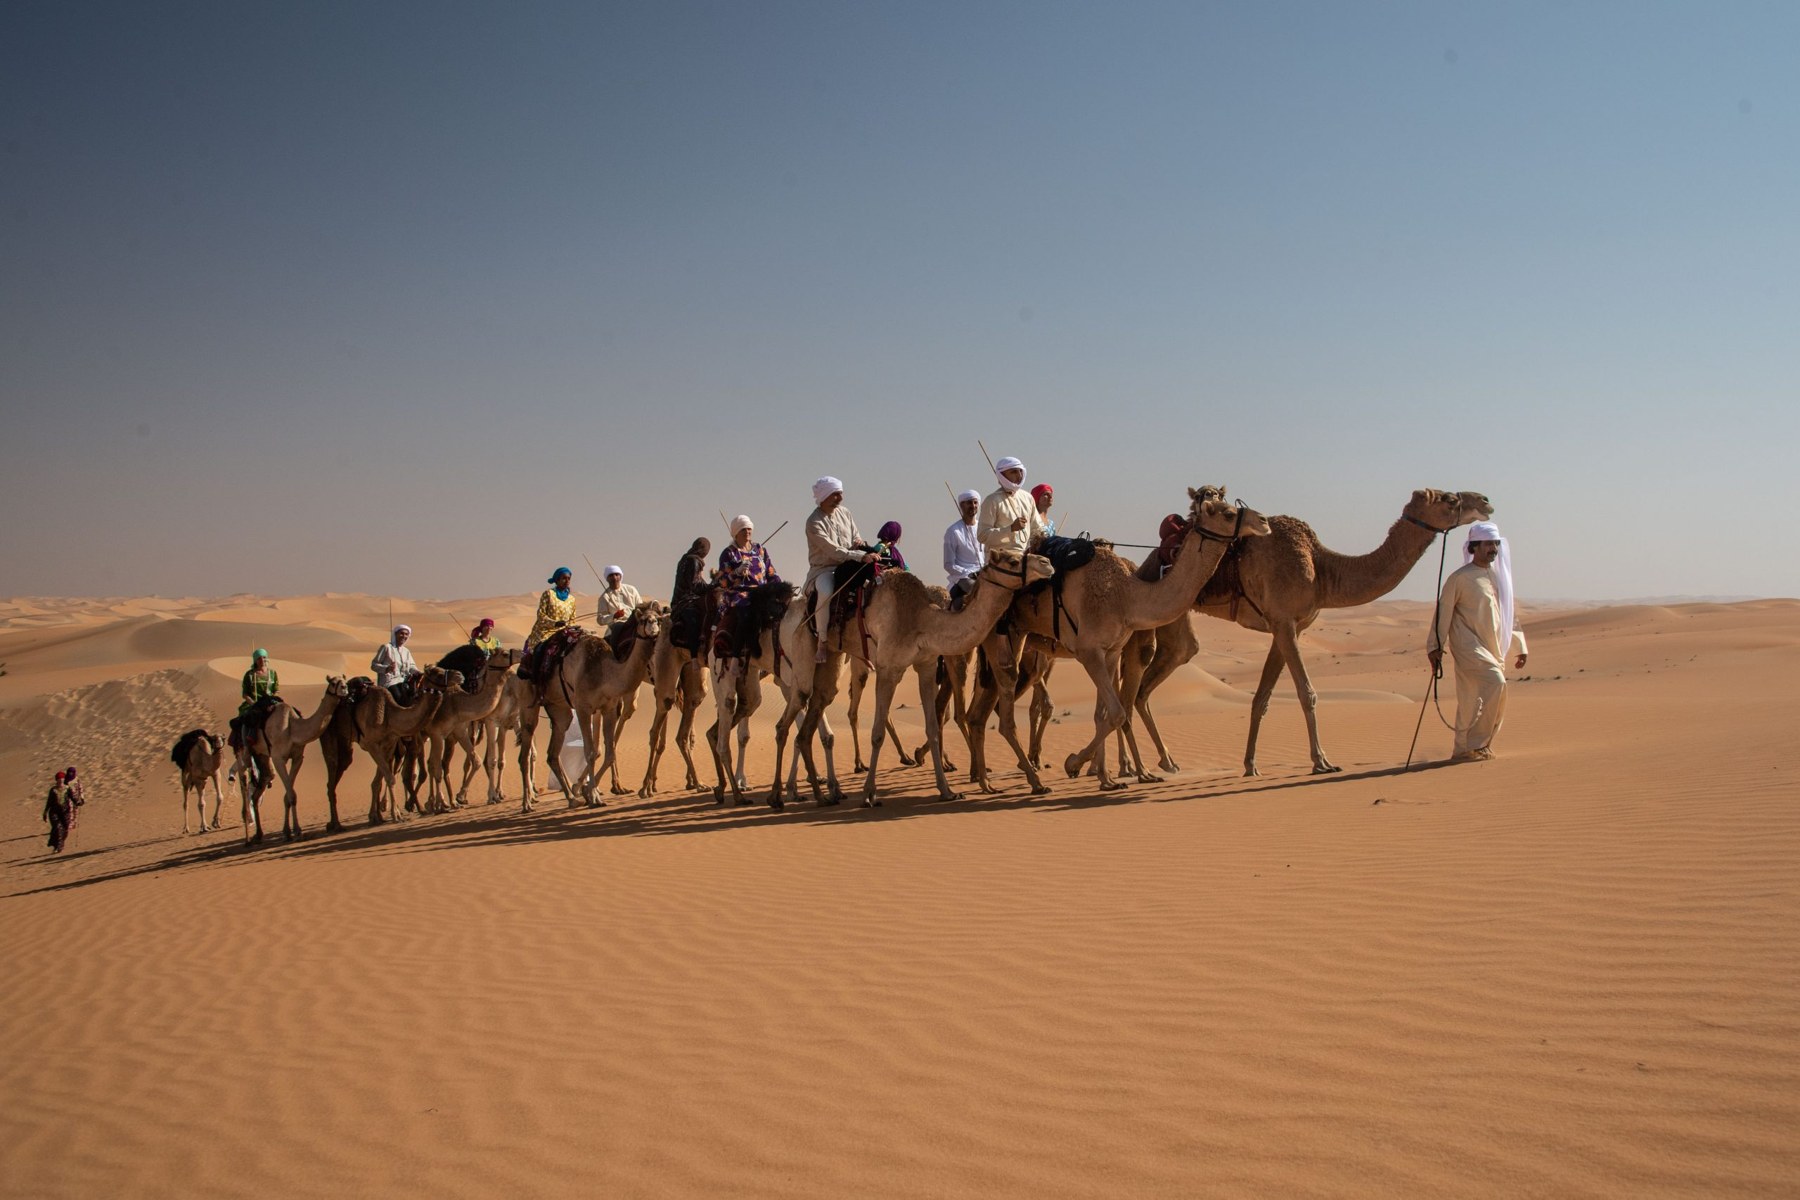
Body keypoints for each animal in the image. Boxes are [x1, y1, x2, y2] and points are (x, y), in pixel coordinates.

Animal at [237, 675, 351, 843]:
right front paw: (295, 830)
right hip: (244, 750)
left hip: (261, 756)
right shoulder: (279, 758)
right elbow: (290, 795)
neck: (293, 728)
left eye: (344, 680)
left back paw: (258, 834)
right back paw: (246, 836)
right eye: (333, 683)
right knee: (243, 776)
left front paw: (289, 831)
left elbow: (290, 795)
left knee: (261, 786)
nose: (345, 688)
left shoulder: (297, 757)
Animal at [538, 602, 667, 806]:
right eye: (643, 620)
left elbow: (607, 751)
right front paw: (592, 795)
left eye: (659, 619)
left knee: (553, 752)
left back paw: (573, 797)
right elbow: (591, 751)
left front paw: (588, 790)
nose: (653, 630)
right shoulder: (584, 708)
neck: (605, 672)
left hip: (559, 708)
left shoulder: (607, 707)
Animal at [773, 547, 1055, 808]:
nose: (1047, 563)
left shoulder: (926, 665)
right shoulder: (888, 667)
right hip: (802, 650)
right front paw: (869, 794)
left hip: (832, 658)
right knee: (789, 717)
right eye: (1013, 560)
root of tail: (793, 610)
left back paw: (823, 795)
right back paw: (779, 796)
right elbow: (877, 733)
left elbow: (933, 727)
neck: (922, 619)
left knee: (811, 719)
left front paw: (947, 790)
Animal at [966, 487, 1271, 793]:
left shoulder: (1112, 651)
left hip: (1017, 640)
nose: (1264, 521)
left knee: (982, 714)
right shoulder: (1089, 651)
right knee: (1000, 714)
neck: (1126, 597)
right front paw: (1075, 763)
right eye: (1228, 513)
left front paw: (1106, 778)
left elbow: (1102, 714)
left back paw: (987, 780)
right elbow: (1116, 713)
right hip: (1001, 639)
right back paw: (1027, 781)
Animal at [1138, 487, 1494, 778]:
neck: (1322, 568)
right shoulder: (1284, 621)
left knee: (1164, 669)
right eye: (1448, 499)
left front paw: (1250, 765)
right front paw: (1321, 761)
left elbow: (1262, 698)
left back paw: (1164, 763)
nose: (1485, 501)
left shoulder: (1285, 625)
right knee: (1147, 681)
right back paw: (1156, 764)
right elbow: (1307, 692)